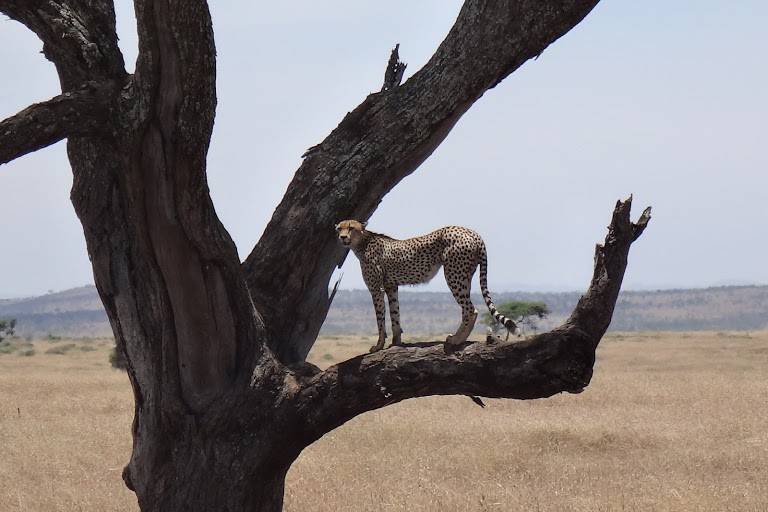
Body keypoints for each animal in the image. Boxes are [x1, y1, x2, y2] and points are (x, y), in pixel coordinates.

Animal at [336, 220, 516, 352]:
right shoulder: (391, 286)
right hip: (465, 276)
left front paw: (378, 345)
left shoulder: (376, 289)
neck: (363, 242)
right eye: (339, 228)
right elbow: (395, 314)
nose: (342, 237)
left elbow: (380, 318)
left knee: (470, 309)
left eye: (351, 228)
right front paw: (396, 342)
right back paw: (460, 338)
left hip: (454, 275)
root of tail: (473, 232)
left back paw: (456, 339)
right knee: (470, 308)